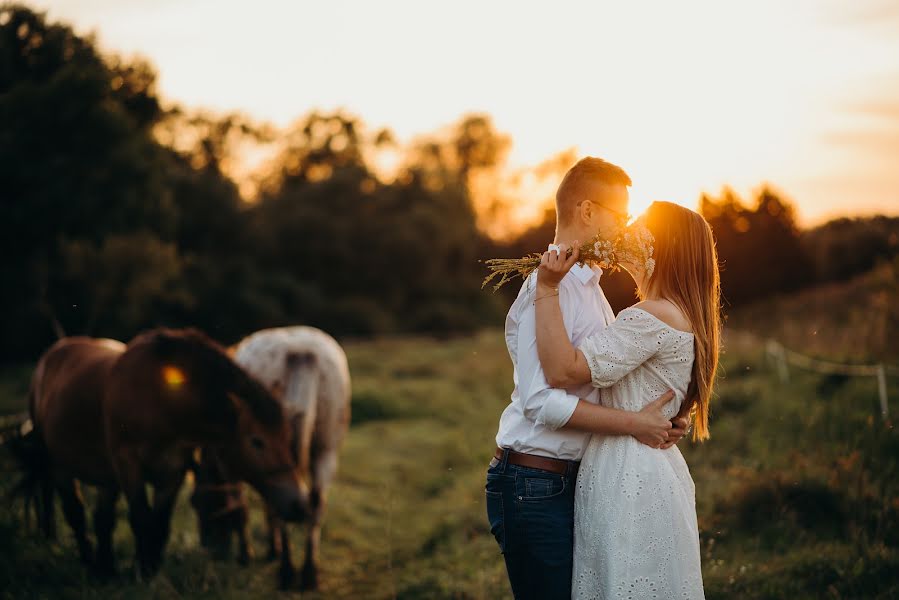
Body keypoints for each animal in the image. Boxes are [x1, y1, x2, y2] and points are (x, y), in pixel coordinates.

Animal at [25, 328, 306, 576]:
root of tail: (52, 355)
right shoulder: (128, 464)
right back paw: (88, 562)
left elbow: (159, 524)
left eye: (286, 436)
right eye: (257, 441)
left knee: (102, 518)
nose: (299, 505)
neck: (159, 401)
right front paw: (142, 571)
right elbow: (140, 518)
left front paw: (150, 568)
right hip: (59, 466)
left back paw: (105, 569)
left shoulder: (173, 471)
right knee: (75, 513)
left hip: (107, 477)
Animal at [193, 326, 352, 588]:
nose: (209, 548)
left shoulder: (234, 464)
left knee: (286, 507)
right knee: (314, 503)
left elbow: (242, 508)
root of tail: (302, 353)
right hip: (326, 449)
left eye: (197, 503)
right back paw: (309, 573)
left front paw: (247, 555)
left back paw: (287, 572)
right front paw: (272, 548)